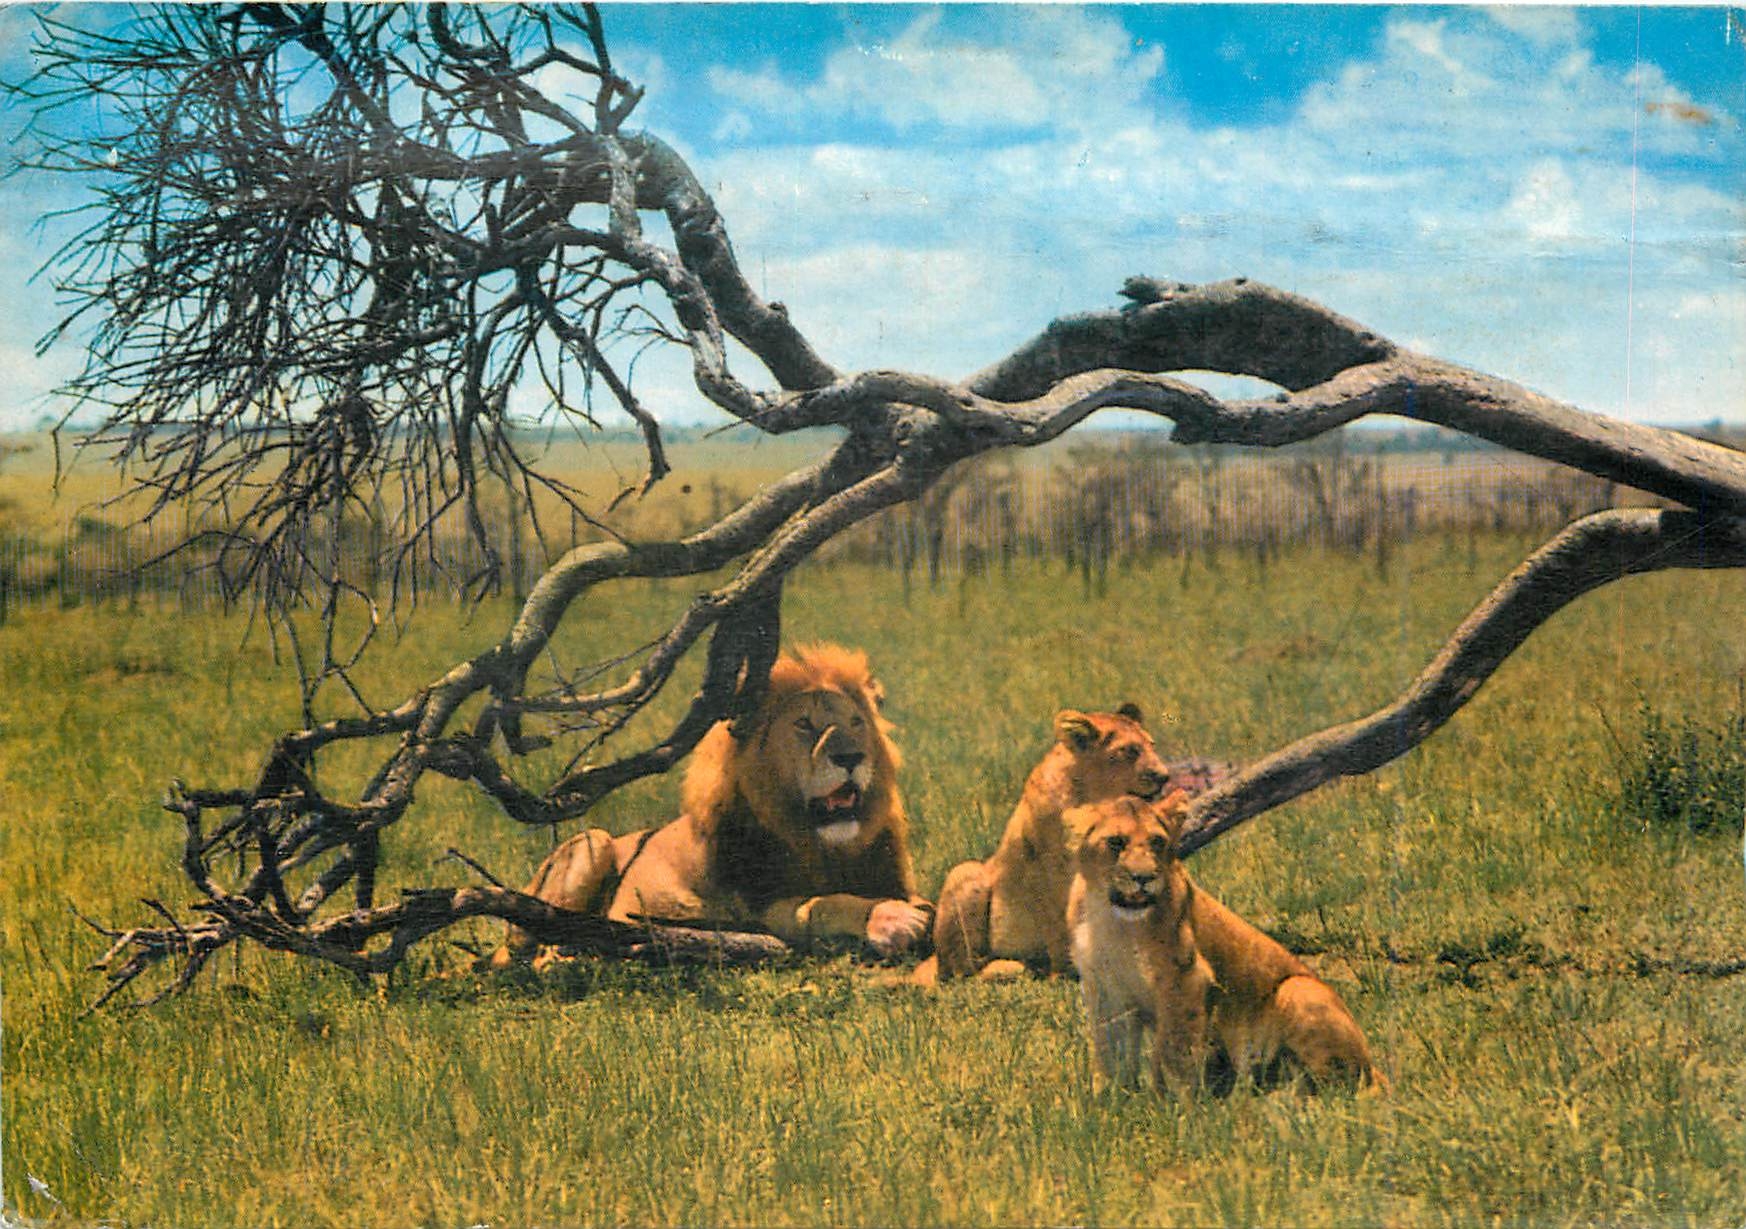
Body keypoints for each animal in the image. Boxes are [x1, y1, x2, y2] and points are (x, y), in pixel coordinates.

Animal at [489, 643, 932, 965]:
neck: (825, 846)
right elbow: (824, 904)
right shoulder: (757, 909)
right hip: (592, 841)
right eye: (804, 724)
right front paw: (891, 918)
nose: (851, 756)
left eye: (857, 722)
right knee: (531, 948)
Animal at [920, 704, 1173, 983]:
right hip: (966, 872)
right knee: (960, 974)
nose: (1165, 776)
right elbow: (1059, 923)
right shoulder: (1047, 871)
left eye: (1151, 745)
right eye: (1130, 750)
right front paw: (1067, 974)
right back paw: (1011, 967)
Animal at [1066, 795, 1384, 1095]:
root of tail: (1373, 1066)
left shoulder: (1186, 978)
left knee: (1340, 1088)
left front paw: (1172, 1105)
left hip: (1299, 988)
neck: (1114, 921)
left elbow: (1174, 1051)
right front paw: (1112, 1100)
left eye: (1157, 842)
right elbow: (1111, 1053)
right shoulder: (1107, 990)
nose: (1144, 878)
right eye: (1116, 842)